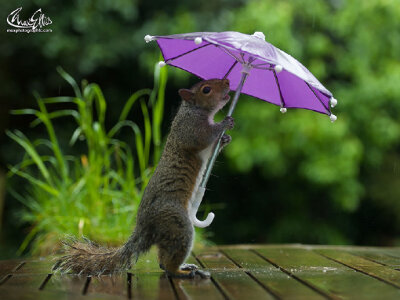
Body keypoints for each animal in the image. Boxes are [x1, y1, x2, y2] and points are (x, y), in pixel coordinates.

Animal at [53, 78, 234, 278]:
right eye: (206, 89)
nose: (227, 81)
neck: (193, 109)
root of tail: (144, 227)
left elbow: (211, 150)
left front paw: (225, 139)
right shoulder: (190, 128)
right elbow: (203, 136)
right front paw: (224, 124)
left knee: (163, 259)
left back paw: (185, 267)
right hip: (176, 222)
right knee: (170, 262)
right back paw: (183, 272)